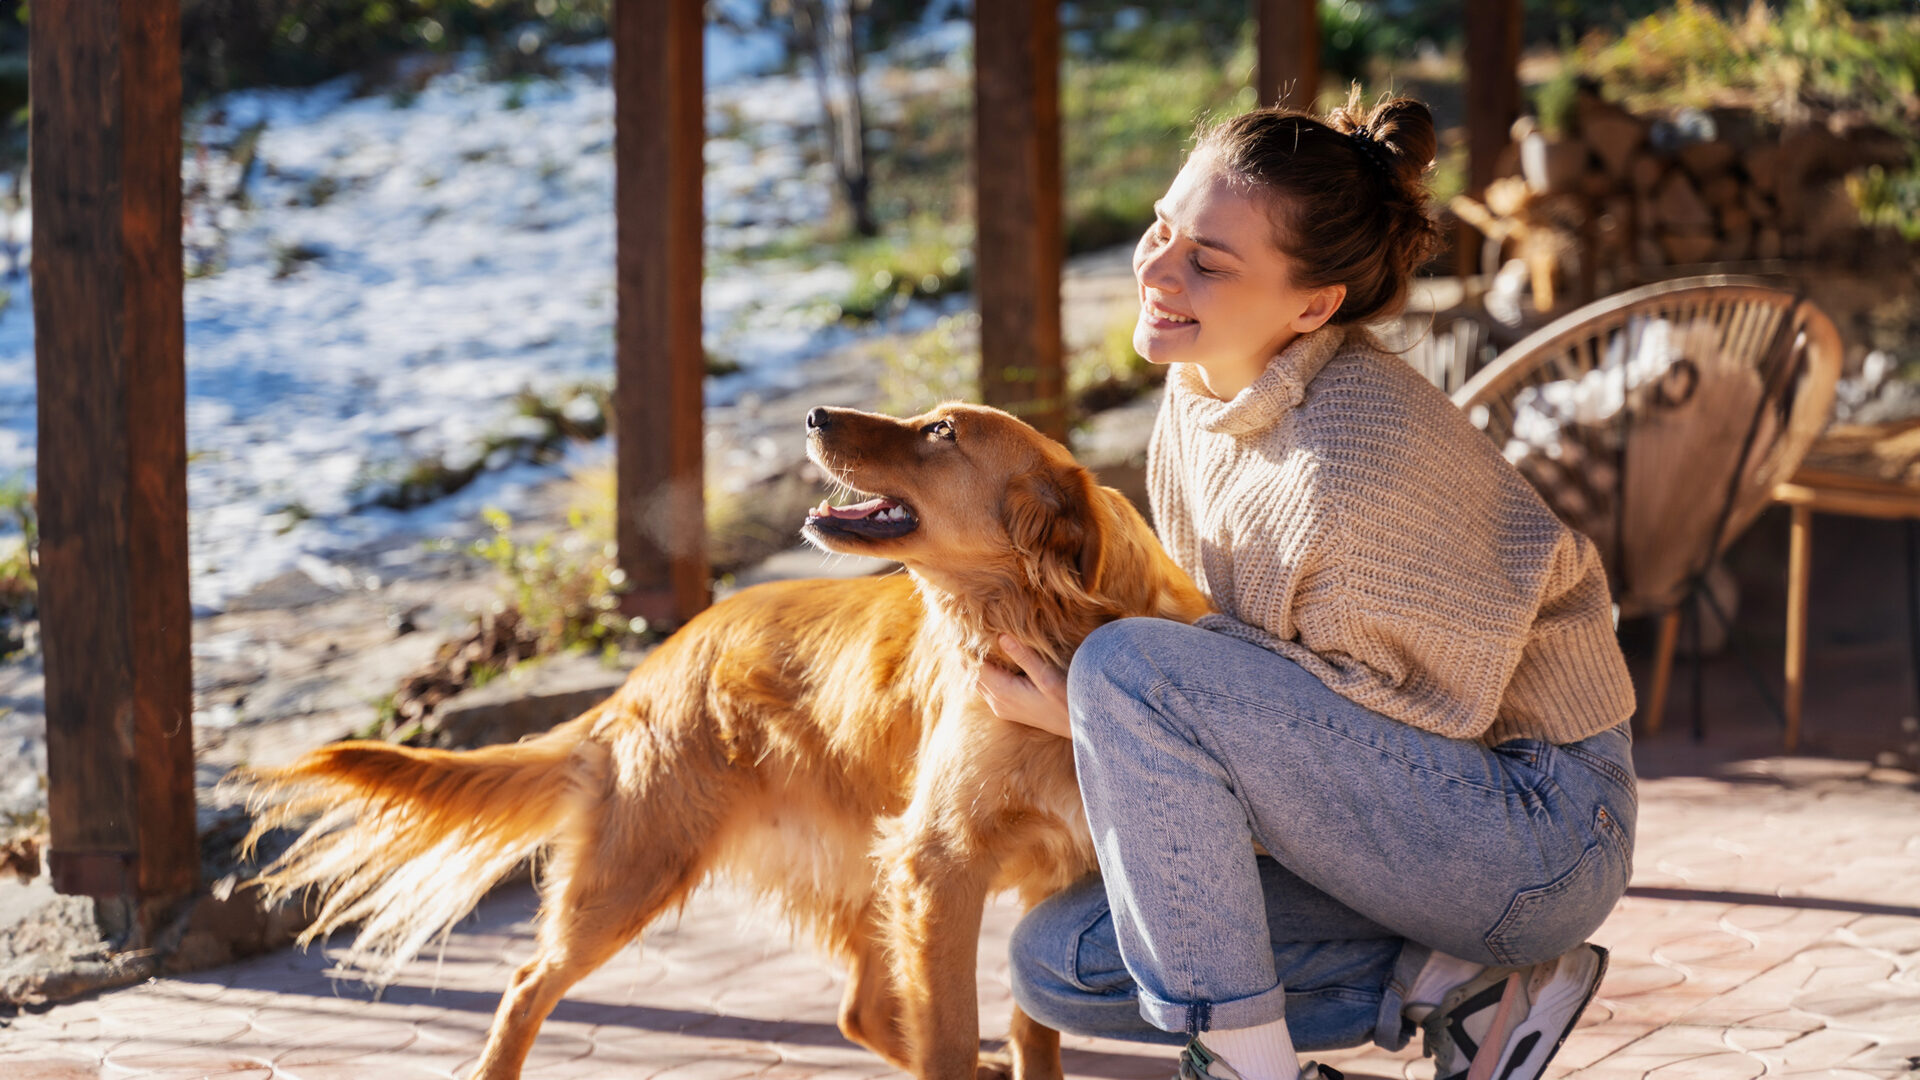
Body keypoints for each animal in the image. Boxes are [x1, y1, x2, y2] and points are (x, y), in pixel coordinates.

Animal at [247, 401, 1205, 1076]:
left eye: (939, 431)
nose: (815, 415)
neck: (1044, 627)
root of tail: (654, 664)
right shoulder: (940, 862)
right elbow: (951, 1035)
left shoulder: (1053, 869)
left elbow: (1028, 1032)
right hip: (639, 874)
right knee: (524, 987)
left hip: (852, 865)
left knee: (860, 1010)